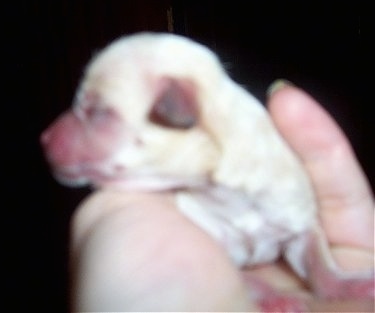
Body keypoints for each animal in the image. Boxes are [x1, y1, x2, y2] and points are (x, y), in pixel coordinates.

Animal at [40, 32, 374, 310]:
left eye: (97, 112)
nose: (42, 138)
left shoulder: (297, 219)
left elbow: (319, 261)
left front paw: (347, 286)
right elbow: (246, 279)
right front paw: (275, 297)